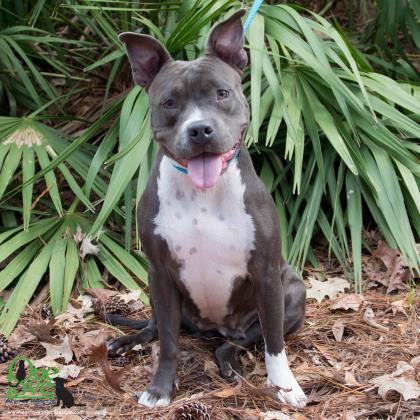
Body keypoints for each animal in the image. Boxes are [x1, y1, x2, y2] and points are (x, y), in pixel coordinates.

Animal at [106, 9, 306, 408]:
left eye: (222, 93)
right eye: (169, 103)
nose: (199, 129)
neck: (204, 193)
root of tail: (215, 328)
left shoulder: (267, 274)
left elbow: (275, 344)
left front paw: (285, 386)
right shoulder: (160, 273)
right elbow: (168, 342)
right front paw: (160, 388)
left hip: (292, 290)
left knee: (243, 341)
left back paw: (229, 362)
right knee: (157, 327)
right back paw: (129, 341)